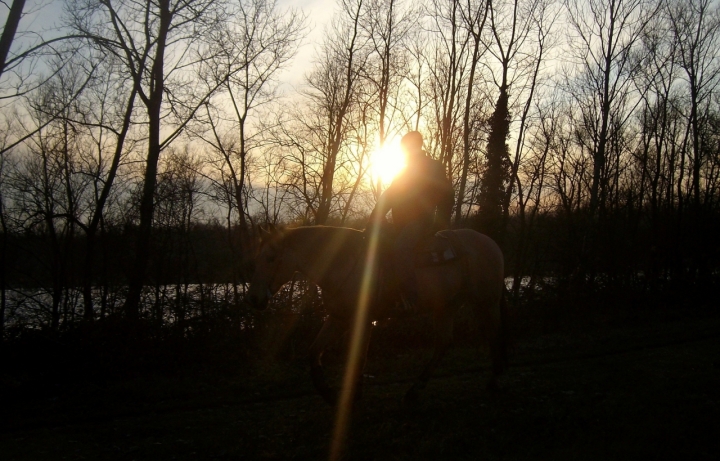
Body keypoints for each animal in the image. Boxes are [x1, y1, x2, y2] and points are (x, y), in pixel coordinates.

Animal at [245, 225, 510, 404]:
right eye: (256, 258)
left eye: (271, 258)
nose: (255, 299)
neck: (345, 264)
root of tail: (492, 243)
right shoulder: (338, 318)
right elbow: (313, 351)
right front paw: (328, 393)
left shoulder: (362, 321)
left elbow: (358, 358)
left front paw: (352, 395)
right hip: (446, 306)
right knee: (443, 343)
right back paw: (415, 390)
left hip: (486, 302)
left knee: (494, 334)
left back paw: (495, 381)